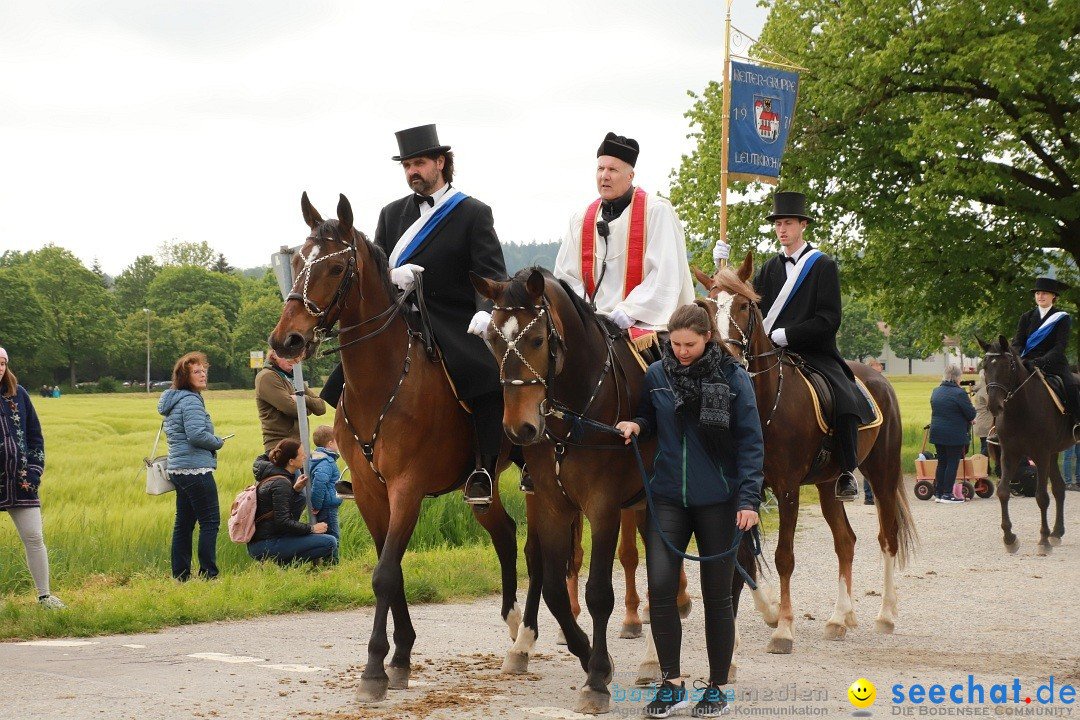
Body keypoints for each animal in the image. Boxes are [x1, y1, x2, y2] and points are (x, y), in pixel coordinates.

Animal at [270, 193, 522, 703]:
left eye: (334, 267)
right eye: (299, 261)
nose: (286, 339)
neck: (381, 380)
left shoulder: (407, 486)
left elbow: (385, 573)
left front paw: (373, 669)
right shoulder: (371, 491)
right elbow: (392, 568)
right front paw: (400, 657)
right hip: (481, 490)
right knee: (506, 534)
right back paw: (514, 633)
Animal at [695, 255, 915, 656]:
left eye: (744, 305)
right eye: (707, 306)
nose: (726, 358)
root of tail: (879, 380)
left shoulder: (787, 489)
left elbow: (784, 557)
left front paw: (783, 629)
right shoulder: (745, 490)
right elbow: (741, 556)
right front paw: (754, 621)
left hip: (883, 474)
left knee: (887, 536)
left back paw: (885, 615)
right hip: (829, 485)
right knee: (846, 541)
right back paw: (840, 618)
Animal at [976, 334, 1067, 557]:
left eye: (1007, 365)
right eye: (985, 365)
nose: (994, 406)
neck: (1021, 410)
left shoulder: (1041, 455)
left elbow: (1042, 497)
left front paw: (1043, 541)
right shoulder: (1009, 454)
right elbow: (1002, 491)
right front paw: (1010, 538)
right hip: (1053, 455)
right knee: (1059, 488)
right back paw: (1057, 533)